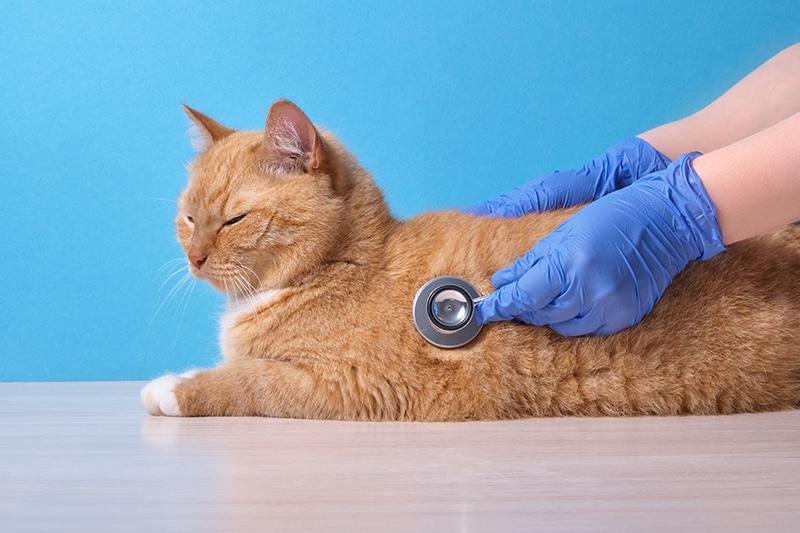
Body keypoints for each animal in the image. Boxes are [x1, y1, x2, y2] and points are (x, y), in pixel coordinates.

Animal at [142, 97, 800, 418]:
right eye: (189, 217)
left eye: (234, 219)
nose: (194, 257)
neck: (342, 265)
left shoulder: (353, 385)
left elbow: (249, 381)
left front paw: (172, 388)